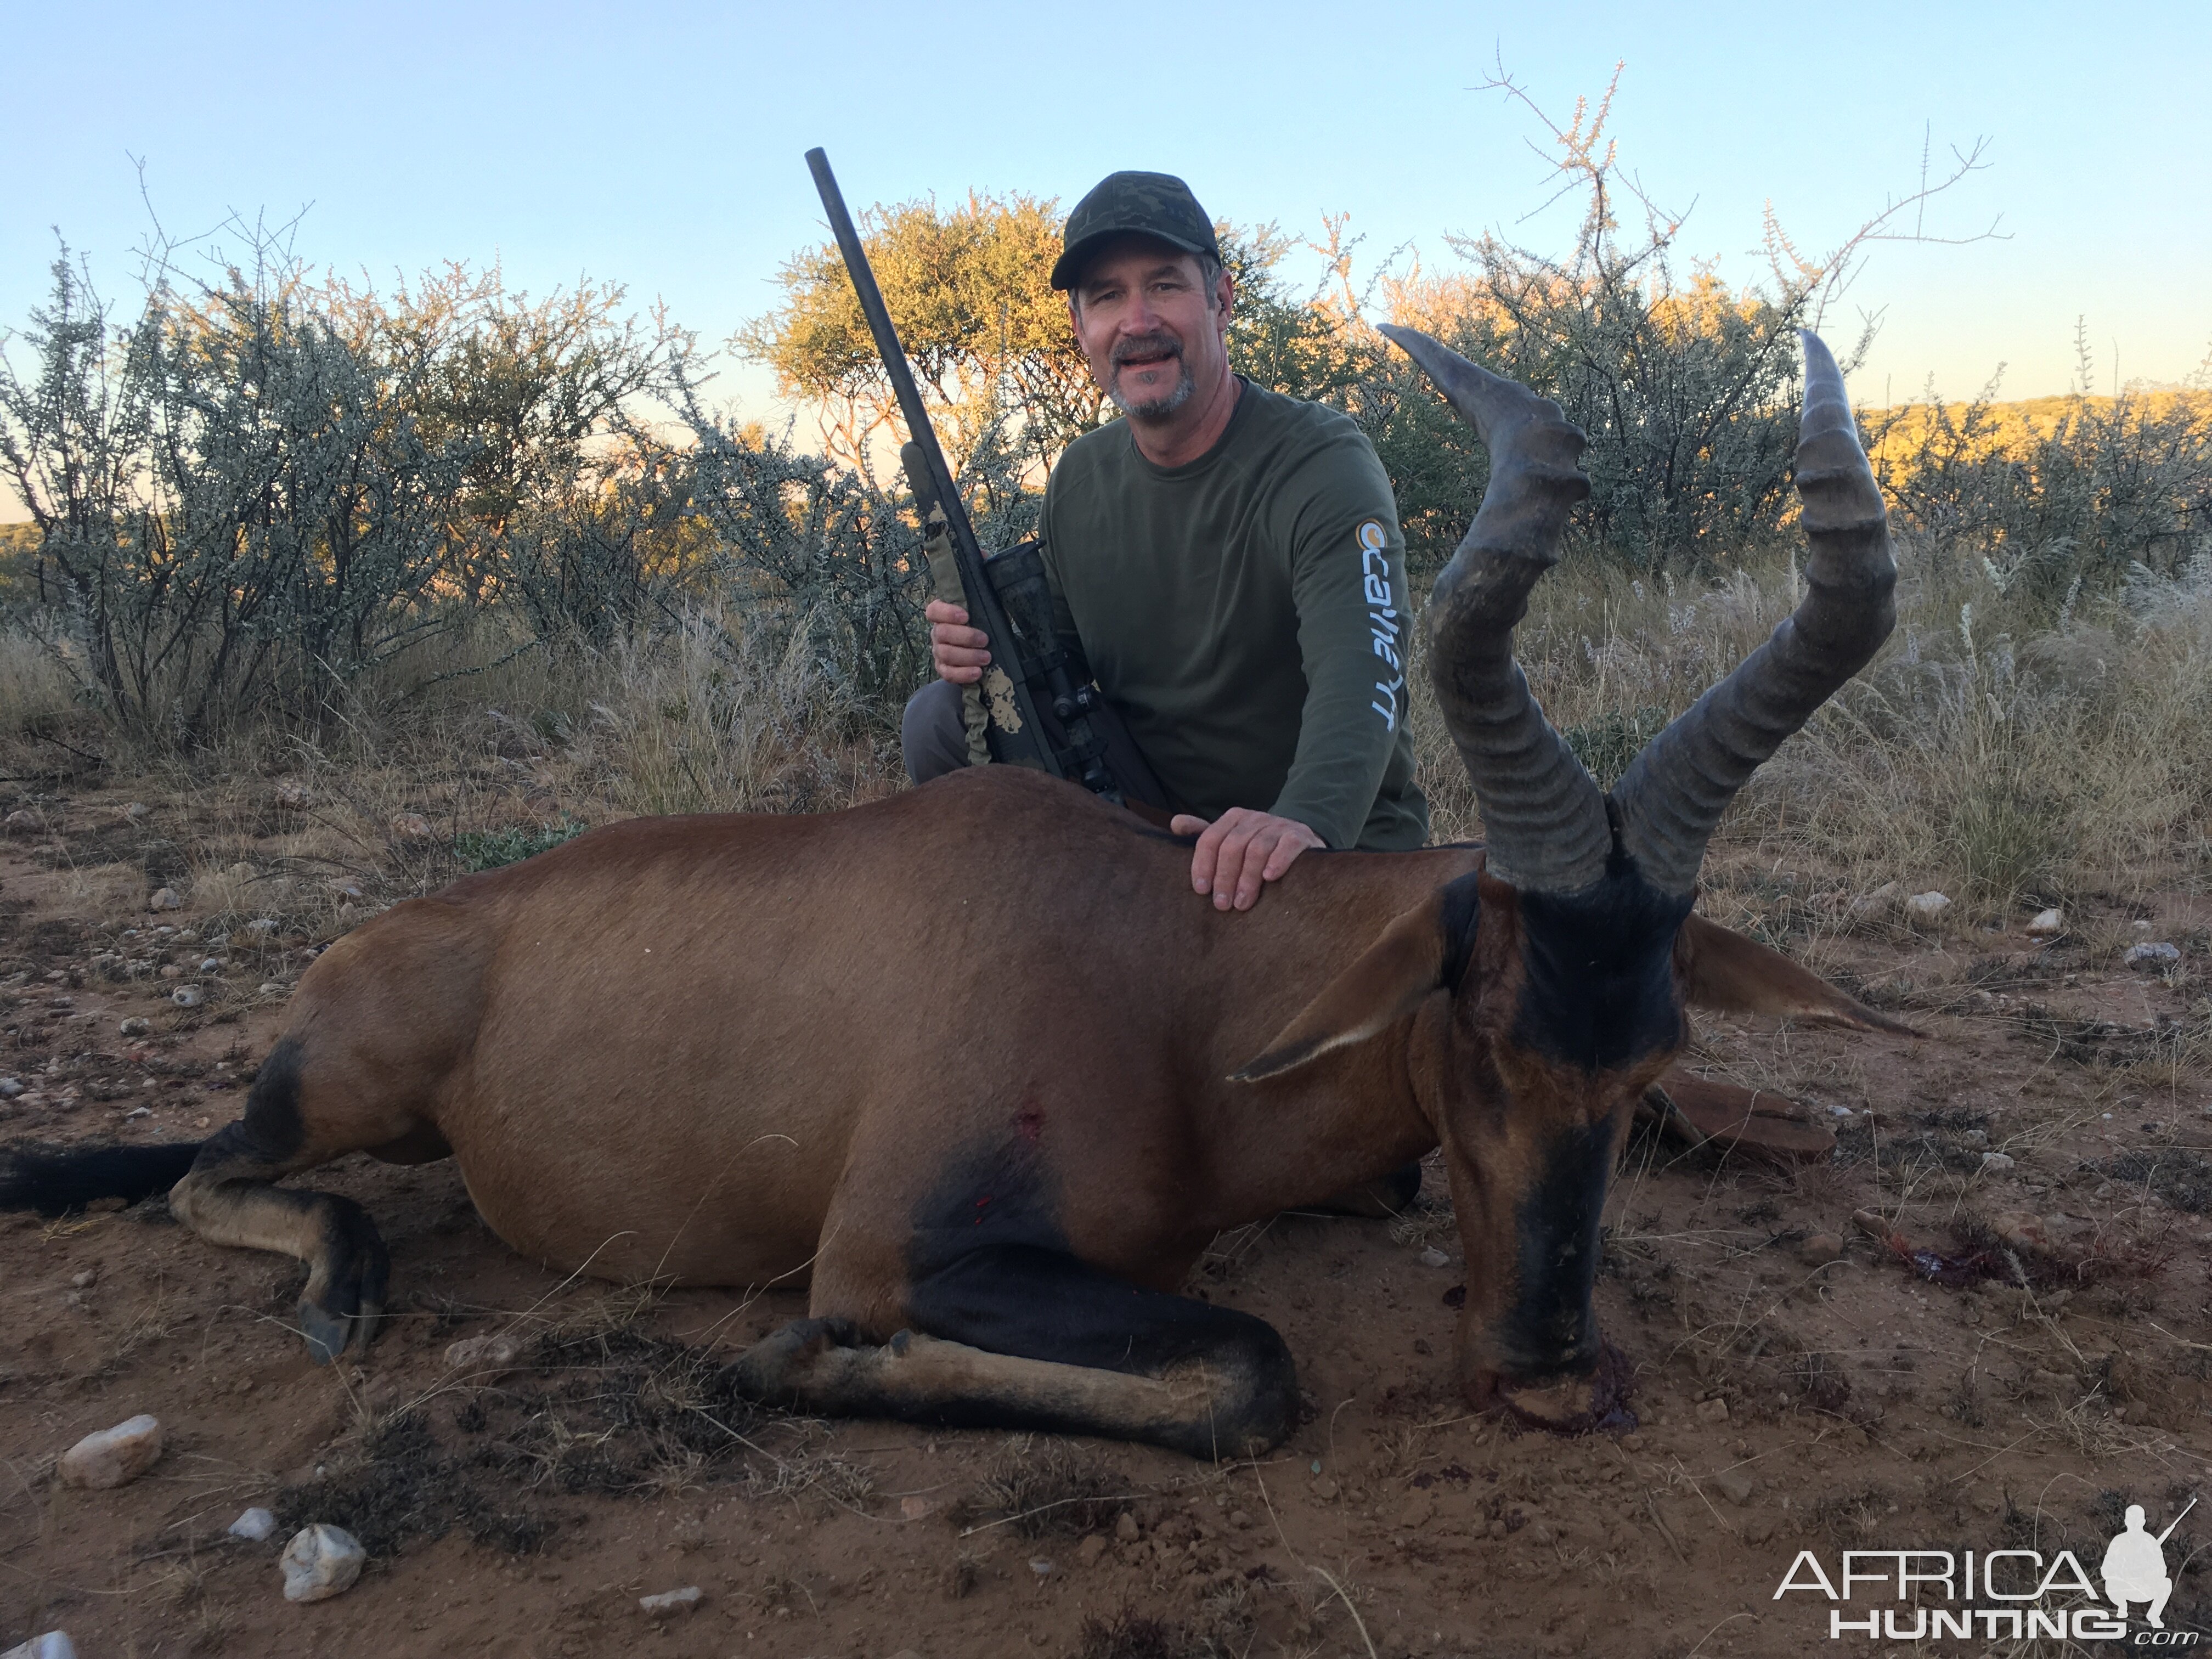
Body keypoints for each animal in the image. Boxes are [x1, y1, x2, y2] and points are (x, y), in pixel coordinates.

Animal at [0, 325, 1920, 1451]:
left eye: (1656, 1058)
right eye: (1489, 1029)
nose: (1548, 1376)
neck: (1162, 971)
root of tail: (382, 941)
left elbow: (1240, 1359)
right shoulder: (899, 1246)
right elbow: (1248, 1372)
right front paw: (795, 1364)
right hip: (350, 1093)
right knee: (208, 1170)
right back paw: (339, 1285)